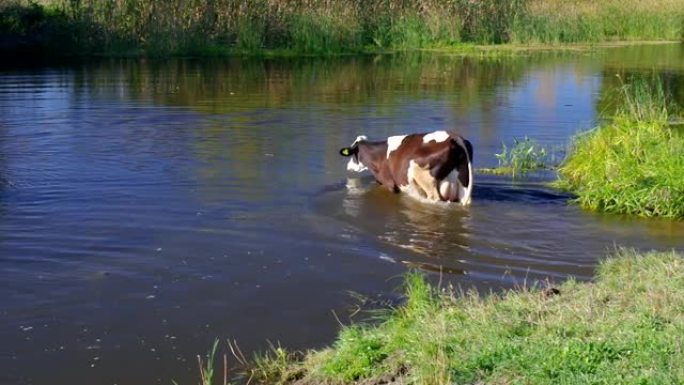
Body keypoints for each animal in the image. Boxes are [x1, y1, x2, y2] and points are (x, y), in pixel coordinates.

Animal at [338, 131, 476, 206]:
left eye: (353, 155)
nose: (348, 166)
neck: (379, 156)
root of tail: (455, 138)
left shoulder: (389, 184)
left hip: (425, 180)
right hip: (464, 188)